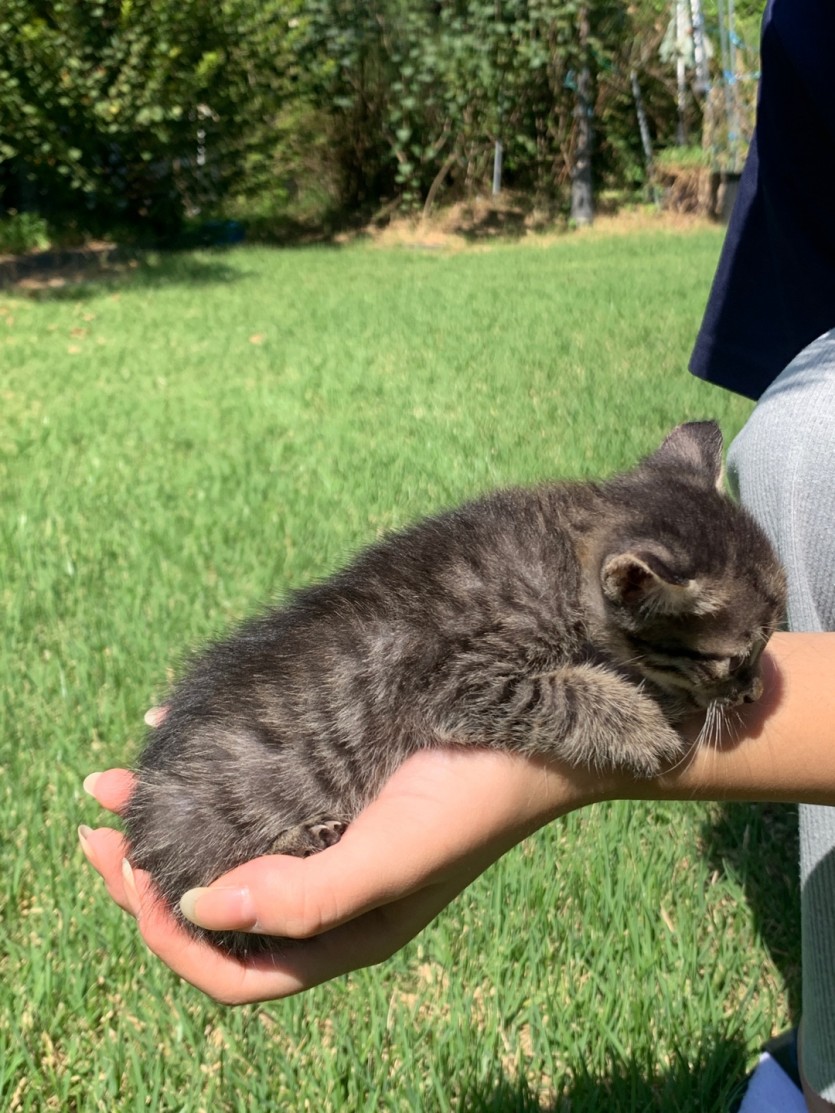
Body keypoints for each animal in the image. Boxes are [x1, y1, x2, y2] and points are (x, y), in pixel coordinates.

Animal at [124, 421, 786, 956]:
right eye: (736, 657)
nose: (754, 693)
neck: (564, 551)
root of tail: (145, 831)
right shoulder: (452, 682)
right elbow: (559, 694)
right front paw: (640, 723)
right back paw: (305, 841)